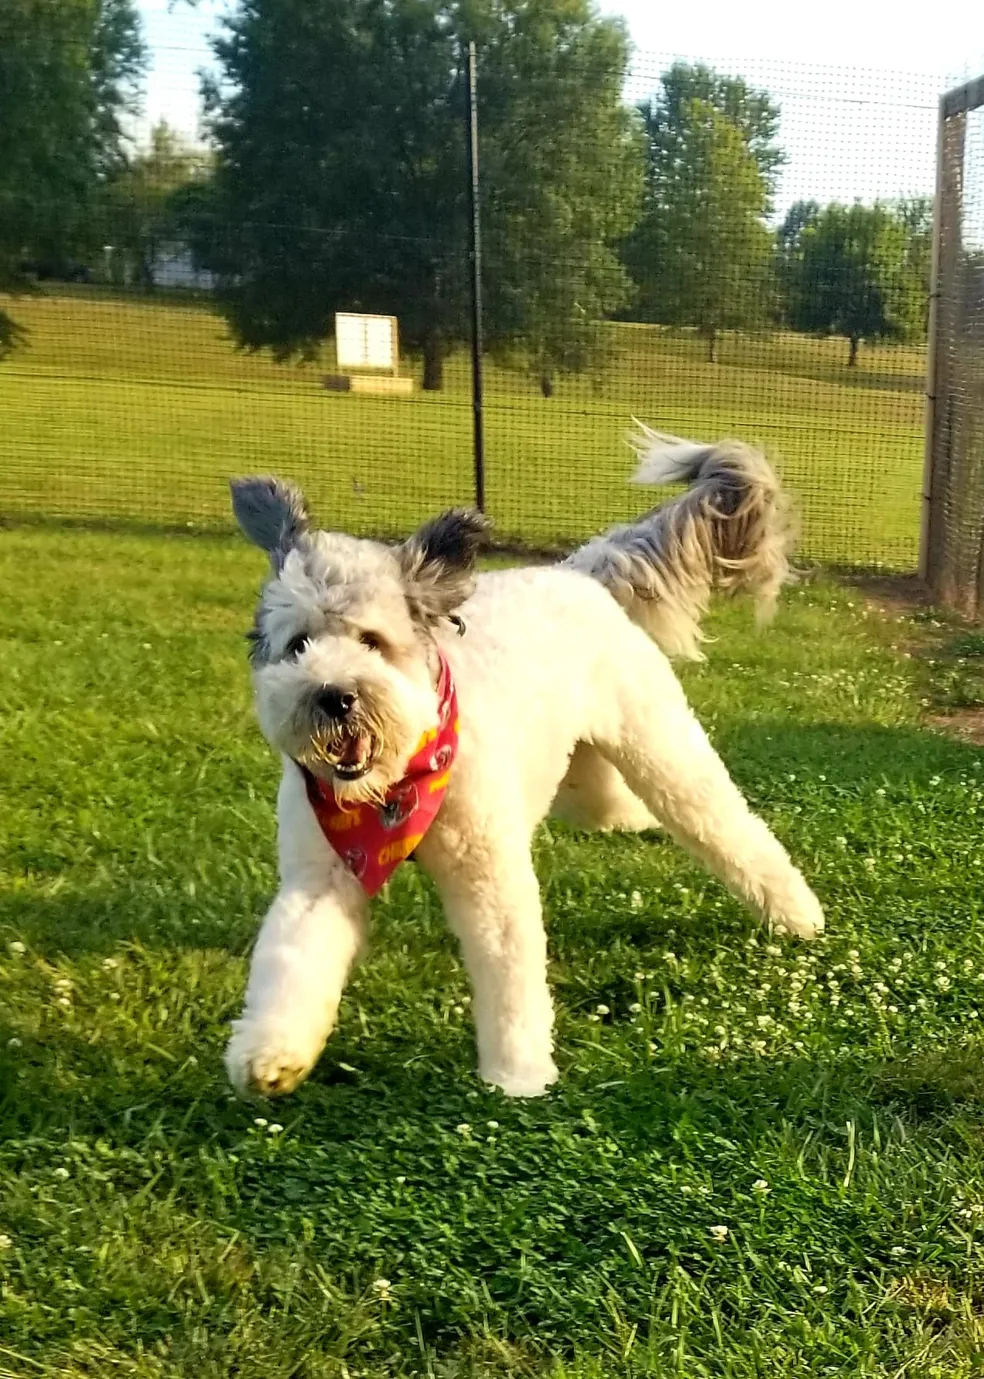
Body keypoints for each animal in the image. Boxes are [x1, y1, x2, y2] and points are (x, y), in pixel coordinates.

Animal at [224, 430, 821, 1097]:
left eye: (372, 642)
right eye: (297, 644)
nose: (333, 695)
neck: (393, 789)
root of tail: (580, 569)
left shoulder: (489, 880)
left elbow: (509, 975)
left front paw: (518, 1075)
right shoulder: (321, 876)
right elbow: (293, 956)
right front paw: (270, 1055)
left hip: (663, 748)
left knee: (726, 824)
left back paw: (797, 914)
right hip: (583, 778)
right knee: (614, 807)